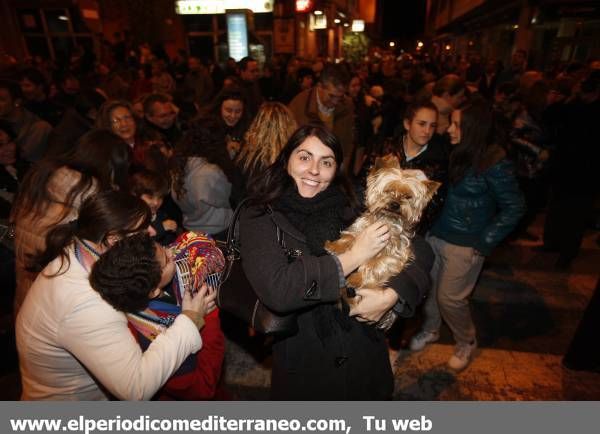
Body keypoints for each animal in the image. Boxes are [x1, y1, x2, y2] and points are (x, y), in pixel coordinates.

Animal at [324, 156, 440, 328]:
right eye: (388, 191)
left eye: (408, 197)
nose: (395, 204)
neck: (387, 220)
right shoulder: (363, 227)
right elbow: (350, 236)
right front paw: (335, 246)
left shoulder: (396, 255)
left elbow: (374, 264)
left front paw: (356, 278)